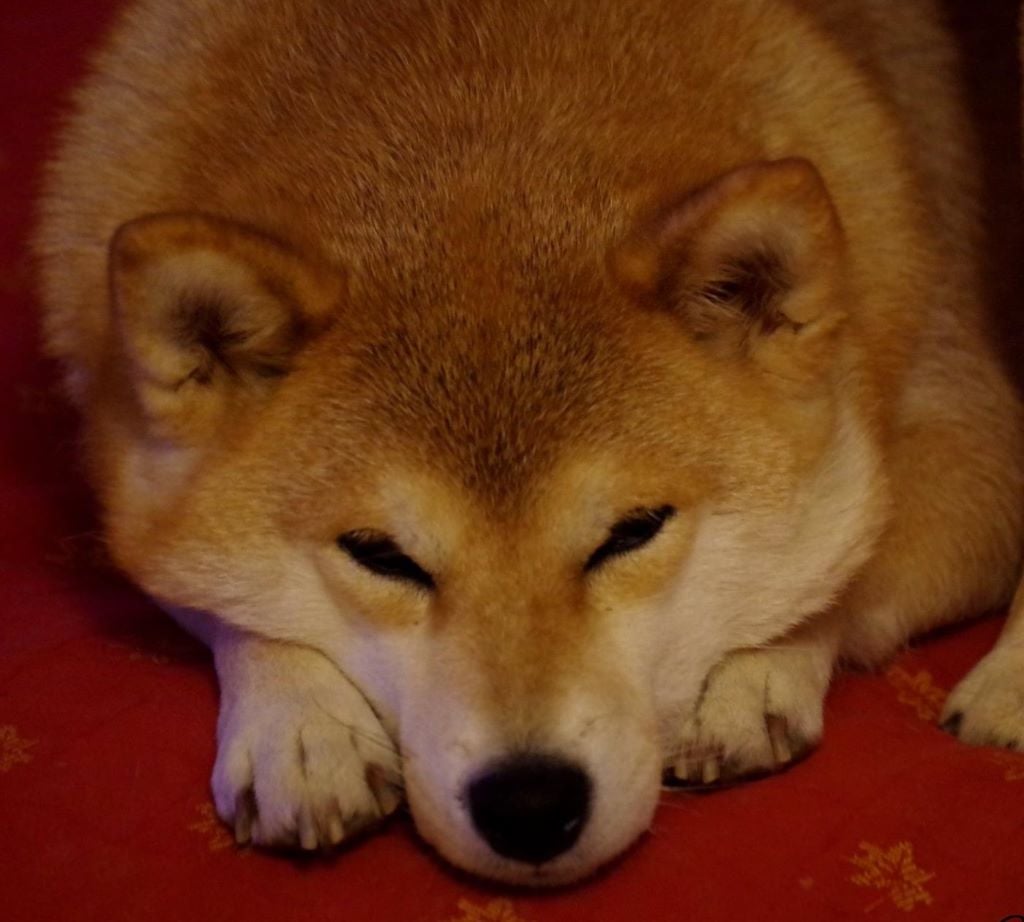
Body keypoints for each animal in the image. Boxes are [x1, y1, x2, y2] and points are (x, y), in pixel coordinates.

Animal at [34, 0, 1024, 886]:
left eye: (633, 532)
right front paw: (298, 723)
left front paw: (755, 675)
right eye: (380, 555)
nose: (531, 805)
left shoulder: (972, 443)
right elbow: (215, 596)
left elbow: (847, 565)